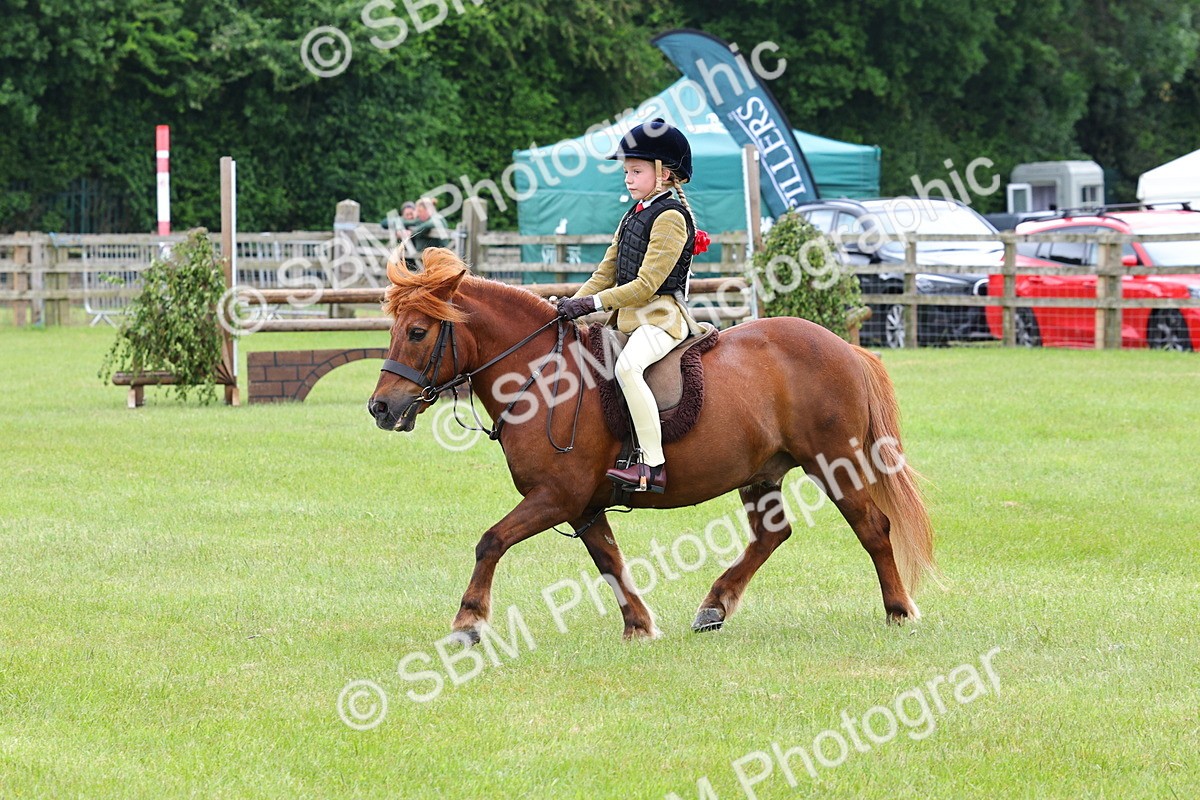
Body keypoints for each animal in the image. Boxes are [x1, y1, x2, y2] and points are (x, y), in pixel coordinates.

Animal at [368, 248, 936, 641]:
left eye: (417, 332)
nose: (381, 408)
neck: (541, 377)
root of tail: (845, 348)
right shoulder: (583, 506)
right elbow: (610, 562)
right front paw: (639, 624)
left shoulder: (556, 497)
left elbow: (491, 541)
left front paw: (468, 622)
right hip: (762, 473)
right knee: (772, 535)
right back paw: (714, 606)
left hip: (835, 462)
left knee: (873, 527)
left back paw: (899, 610)